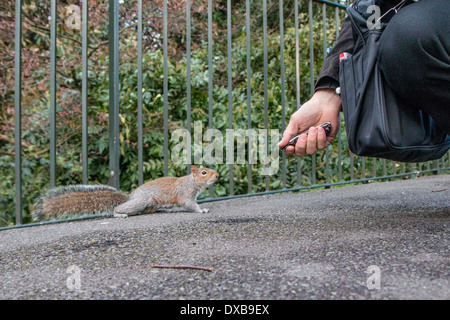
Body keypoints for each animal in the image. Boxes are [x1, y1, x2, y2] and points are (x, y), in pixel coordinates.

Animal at [31, 166, 220, 221]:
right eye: (204, 172)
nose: (217, 175)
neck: (192, 181)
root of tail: (130, 197)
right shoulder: (185, 194)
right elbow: (189, 204)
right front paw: (202, 210)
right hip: (141, 201)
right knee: (121, 208)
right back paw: (119, 213)